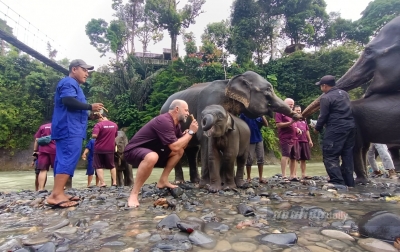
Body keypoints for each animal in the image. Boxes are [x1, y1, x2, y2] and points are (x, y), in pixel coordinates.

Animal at [159, 71, 300, 187]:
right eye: (268, 91)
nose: (298, 115)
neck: (229, 82)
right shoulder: (209, 103)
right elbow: (205, 137)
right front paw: (209, 184)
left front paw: (223, 182)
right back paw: (180, 182)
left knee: (193, 150)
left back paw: (195, 181)